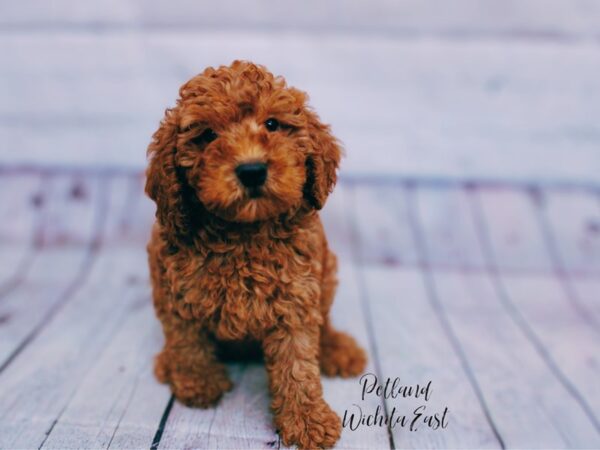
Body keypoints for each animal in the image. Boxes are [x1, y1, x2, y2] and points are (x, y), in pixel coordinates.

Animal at [146, 60, 366, 450]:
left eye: (272, 125)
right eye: (208, 136)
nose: (251, 170)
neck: (244, 232)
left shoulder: (295, 299)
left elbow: (298, 365)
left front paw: (308, 421)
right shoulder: (175, 291)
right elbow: (187, 341)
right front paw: (198, 383)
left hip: (327, 274)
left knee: (325, 322)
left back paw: (338, 348)